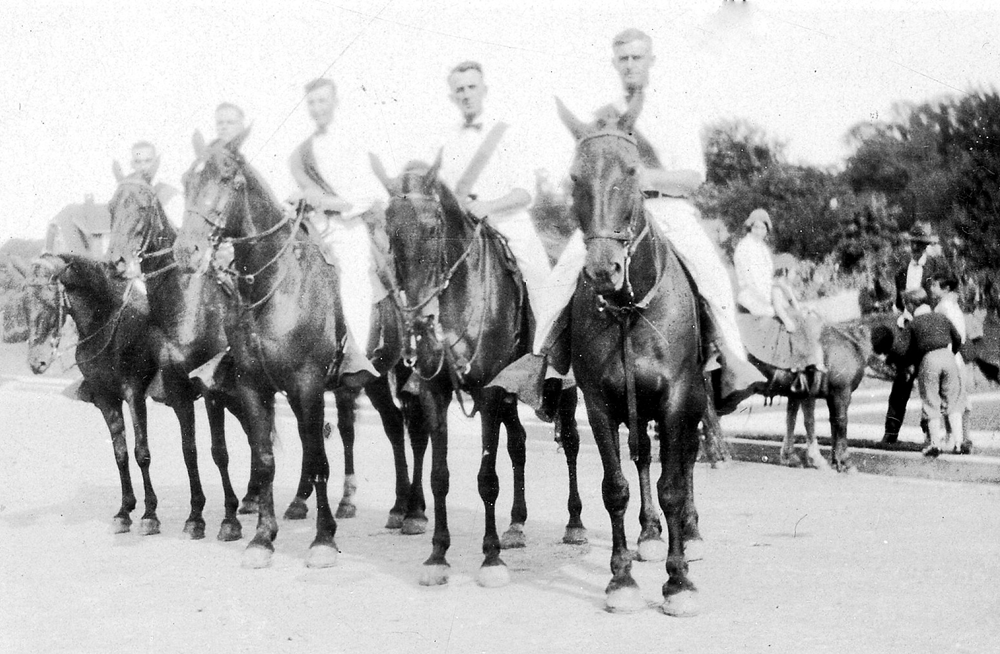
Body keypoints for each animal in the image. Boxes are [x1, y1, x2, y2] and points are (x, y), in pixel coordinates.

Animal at [23, 254, 162, 536]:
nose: (36, 363)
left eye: (49, 302)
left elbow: (141, 452)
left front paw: (150, 514)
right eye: (24, 304)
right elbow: (120, 453)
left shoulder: (134, 394)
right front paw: (124, 511)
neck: (108, 322)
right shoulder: (106, 399)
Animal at [176, 132, 414, 568]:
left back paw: (407, 509)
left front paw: (322, 540)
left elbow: (318, 457)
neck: (274, 283)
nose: (188, 252)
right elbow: (264, 459)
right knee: (383, 424)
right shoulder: (255, 387)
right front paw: (262, 538)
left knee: (397, 427)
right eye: (187, 181)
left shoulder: (307, 383)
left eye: (228, 178)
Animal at [370, 158, 584, 588]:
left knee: (570, 441)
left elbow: (487, 478)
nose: (418, 316)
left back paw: (574, 523)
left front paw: (491, 559)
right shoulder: (435, 392)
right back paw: (516, 525)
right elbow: (439, 475)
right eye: (390, 230)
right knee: (518, 443)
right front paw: (437, 555)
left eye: (433, 227)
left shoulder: (487, 393)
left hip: (562, 388)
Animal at [556, 96, 704, 616]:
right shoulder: (599, 402)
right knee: (641, 457)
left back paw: (690, 533)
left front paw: (679, 581)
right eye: (574, 177)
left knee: (686, 458)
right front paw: (621, 579)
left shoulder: (677, 396)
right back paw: (650, 533)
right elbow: (615, 487)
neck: (627, 310)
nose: (603, 270)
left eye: (633, 170)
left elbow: (674, 484)